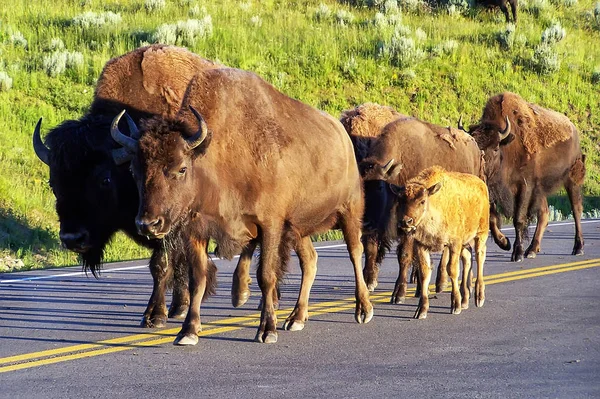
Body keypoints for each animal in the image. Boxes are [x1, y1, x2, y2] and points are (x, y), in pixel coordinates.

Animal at [31, 45, 223, 330]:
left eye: (104, 180)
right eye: (54, 182)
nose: (73, 239)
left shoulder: (165, 226)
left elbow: (161, 264)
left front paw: (154, 316)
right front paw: (174, 309)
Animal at [110, 68, 372, 346]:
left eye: (181, 168)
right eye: (134, 170)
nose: (148, 224)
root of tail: (343, 136)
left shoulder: (270, 225)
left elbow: (266, 275)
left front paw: (267, 330)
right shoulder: (197, 230)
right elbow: (198, 278)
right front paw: (188, 331)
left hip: (349, 211)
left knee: (355, 251)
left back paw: (363, 309)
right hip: (298, 228)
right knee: (310, 261)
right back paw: (296, 318)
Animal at [466, 92, 584, 264]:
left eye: (495, 148)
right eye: (474, 146)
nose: (479, 171)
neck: (507, 147)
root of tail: (573, 129)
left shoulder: (524, 187)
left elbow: (519, 219)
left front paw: (517, 253)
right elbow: (492, 217)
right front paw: (505, 243)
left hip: (571, 180)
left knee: (576, 210)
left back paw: (578, 248)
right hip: (540, 189)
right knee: (544, 214)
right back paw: (532, 250)